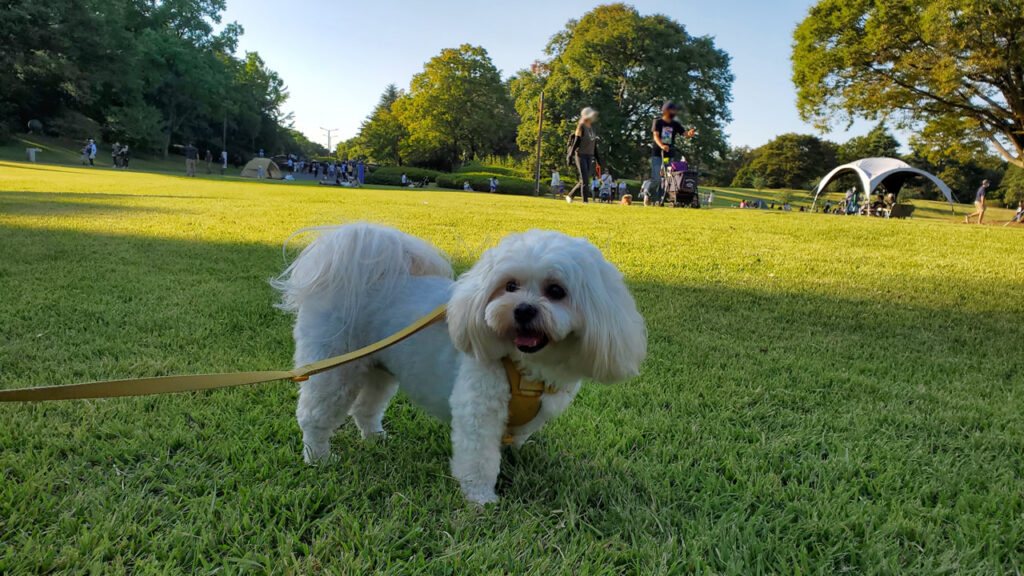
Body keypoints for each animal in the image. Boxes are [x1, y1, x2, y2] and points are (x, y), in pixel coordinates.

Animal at [272, 224, 647, 502]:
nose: (523, 310)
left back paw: (376, 438)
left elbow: (516, 438)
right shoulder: (479, 409)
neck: (527, 366)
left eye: (556, 291)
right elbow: (479, 461)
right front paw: (481, 500)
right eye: (510, 285)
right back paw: (319, 458)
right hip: (333, 365)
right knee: (315, 415)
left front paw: (515, 460)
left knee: (366, 408)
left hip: (380, 368)